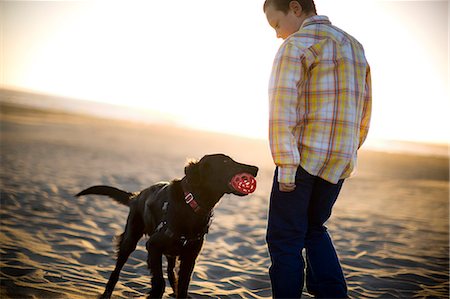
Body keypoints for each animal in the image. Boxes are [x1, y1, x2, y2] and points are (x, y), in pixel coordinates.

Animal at [76, 155, 258, 299]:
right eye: (226, 162)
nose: (255, 168)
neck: (192, 205)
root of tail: (137, 195)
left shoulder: (190, 256)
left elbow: (183, 287)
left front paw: (179, 292)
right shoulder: (153, 246)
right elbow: (159, 283)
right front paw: (154, 294)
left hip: (173, 251)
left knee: (171, 271)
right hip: (131, 238)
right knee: (117, 269)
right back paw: (107, 292)